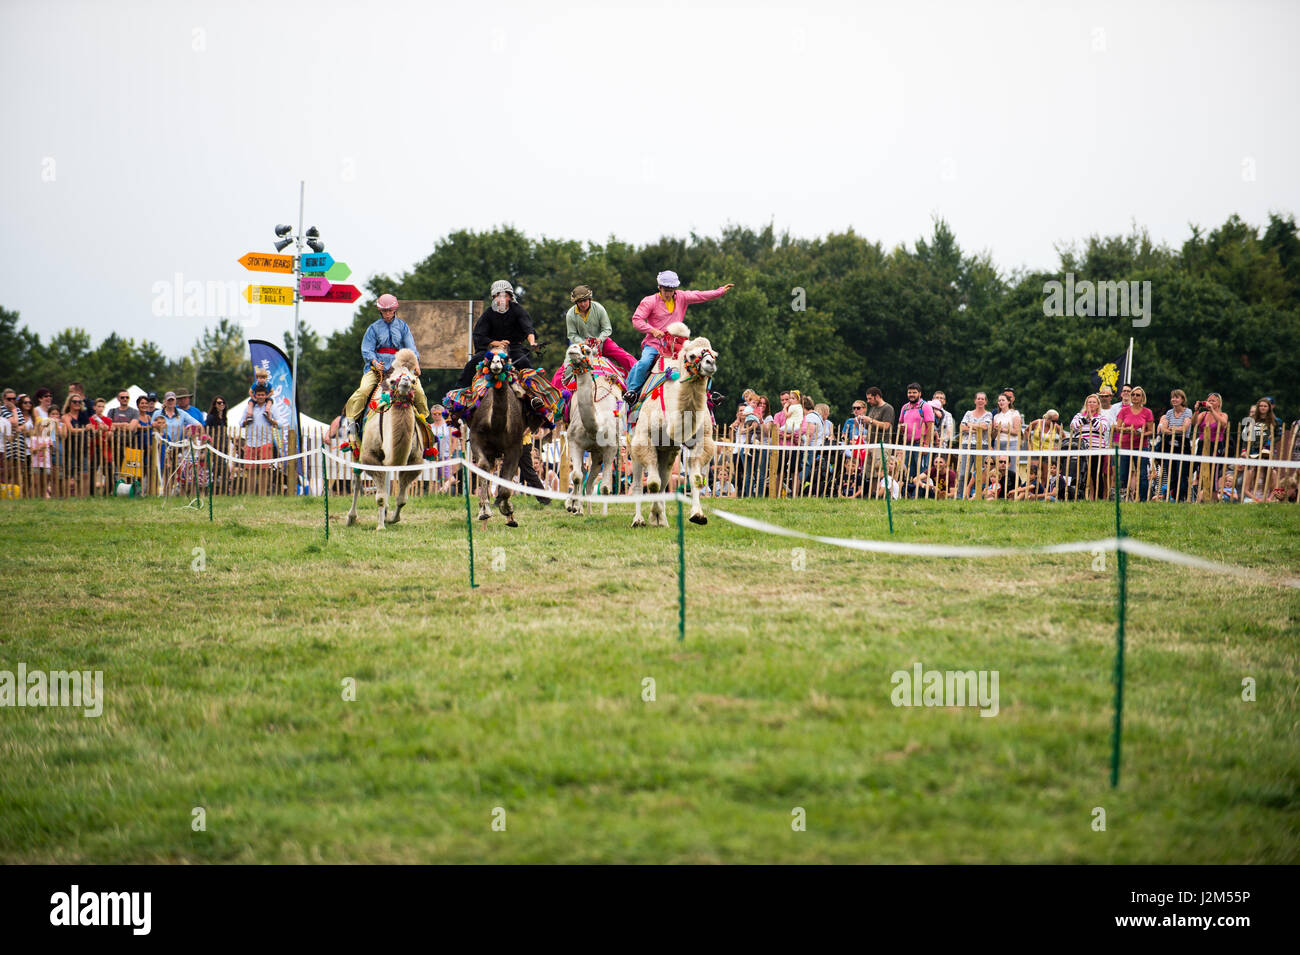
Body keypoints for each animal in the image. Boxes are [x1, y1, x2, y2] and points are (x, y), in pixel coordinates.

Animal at [343, 350, 423, 530]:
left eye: (414, 380)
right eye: (392, 380)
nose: (405, 383)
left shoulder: (414, 460)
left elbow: (402, 499)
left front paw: (392, 518)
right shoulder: (370, 456)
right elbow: (379, 496)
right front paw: (380, 526)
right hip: (356, 448)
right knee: (357, 481)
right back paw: (351, 517)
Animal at [561, 337, 621, 514]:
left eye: (586, 351)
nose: (573, 349)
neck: (596, 428)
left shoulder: (611, 447)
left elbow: (606, 487)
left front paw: (604, 515)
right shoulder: (574, 441)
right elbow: (576, 476)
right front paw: (573, 506)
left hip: (598, 454)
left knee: (592, 481)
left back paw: (589, 511)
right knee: (584, 475)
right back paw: (579, 508)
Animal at [631, 324, 722, 527]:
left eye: (714, 354)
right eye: (692, 356)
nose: (710, 364)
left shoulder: (701, 441)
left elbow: (695, 479)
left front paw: (698, 515)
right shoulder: (644, 439)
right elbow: (652, 483)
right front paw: (653, 515)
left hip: (668, 451)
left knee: (665, 478)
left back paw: (661, 519)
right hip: (632, 443)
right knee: (639, 481)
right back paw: (639, 520)